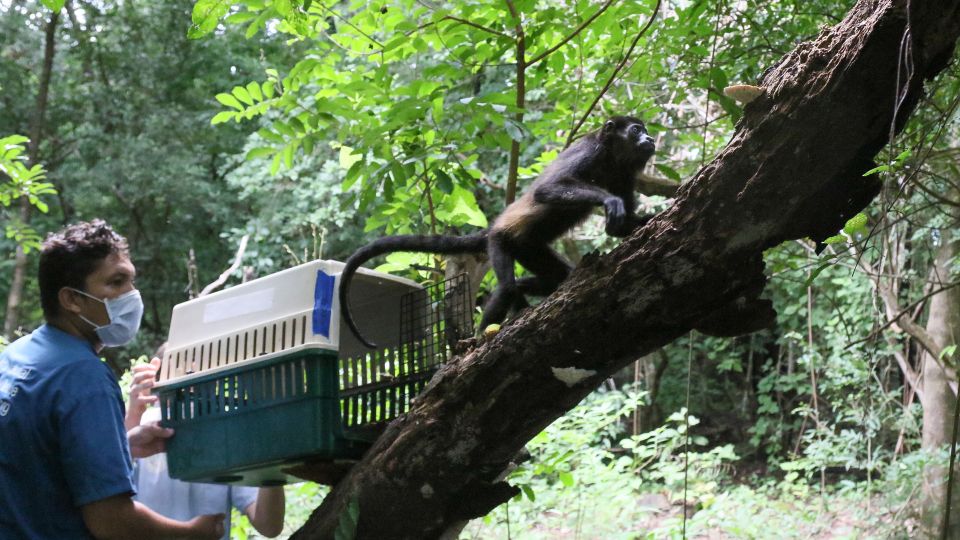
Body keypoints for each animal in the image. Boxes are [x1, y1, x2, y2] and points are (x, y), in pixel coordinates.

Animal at [339, 115, 657, 349]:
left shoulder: (625, 173)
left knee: (552, 277)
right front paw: (609, 201)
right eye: (636, 130)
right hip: (500, 242)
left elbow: (622, 224)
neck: (611, 159)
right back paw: (479, 338)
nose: (651, 138)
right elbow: (546, 190)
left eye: (645, 130)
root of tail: (492, 228)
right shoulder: (588, 151)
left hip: (528, 247)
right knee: (505, 288)